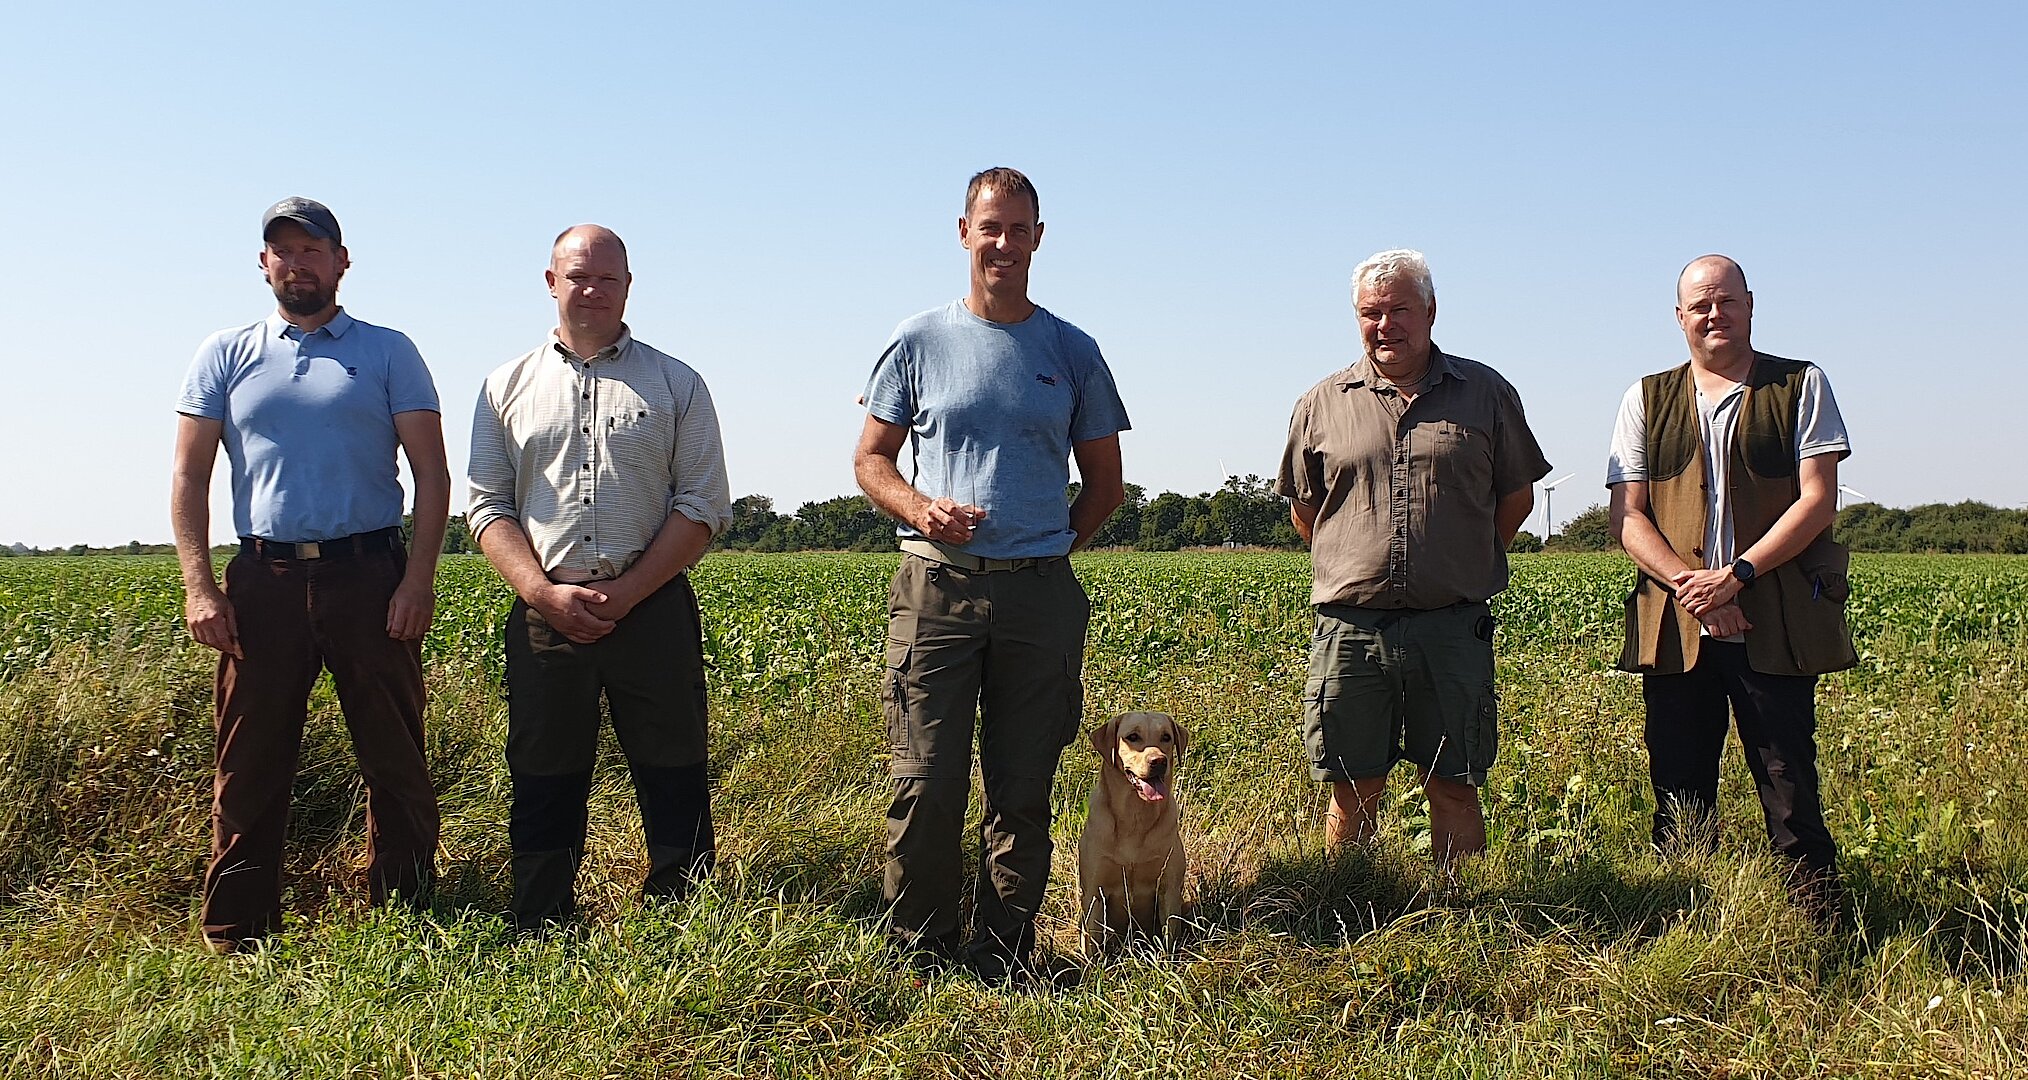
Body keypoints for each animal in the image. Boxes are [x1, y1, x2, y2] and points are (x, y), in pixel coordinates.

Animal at [1077, 711, 1189, 957]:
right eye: (1133, 737)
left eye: (1166, 737)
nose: (1159, 761)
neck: (1134, 818)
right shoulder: (1095, 893)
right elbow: (1092, 943)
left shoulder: (1169, 888)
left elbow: (1169, 936)